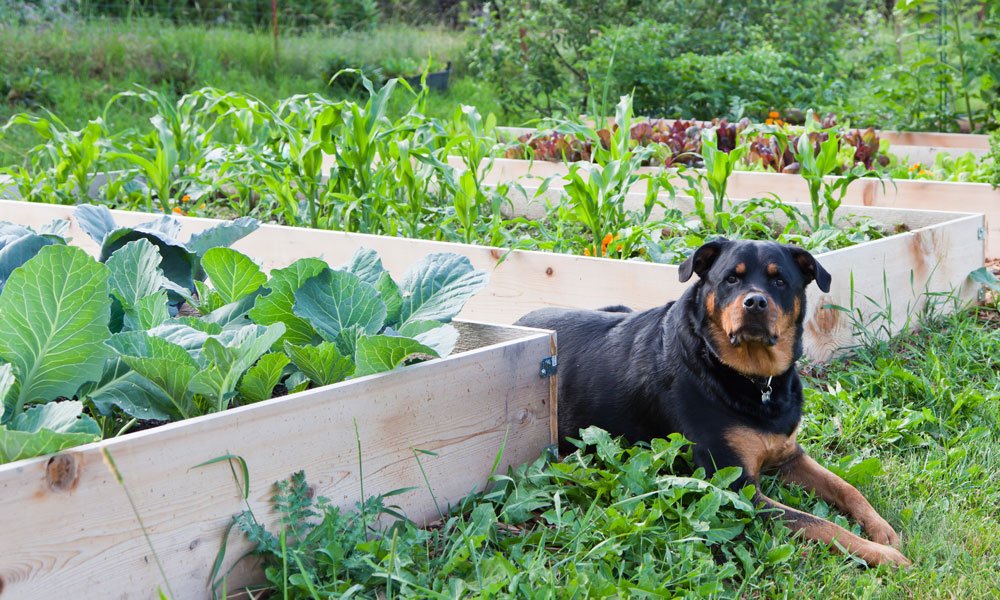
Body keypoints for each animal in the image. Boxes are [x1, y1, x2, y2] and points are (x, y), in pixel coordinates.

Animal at [520, 239, 912, 568]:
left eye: (779, 281)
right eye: (730, 279)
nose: (755, 302)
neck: (753, 380)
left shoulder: (789, 455)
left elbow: (847, 488)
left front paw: (882, 530)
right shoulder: (737, 488)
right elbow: (818, 523)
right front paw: (884, 555)